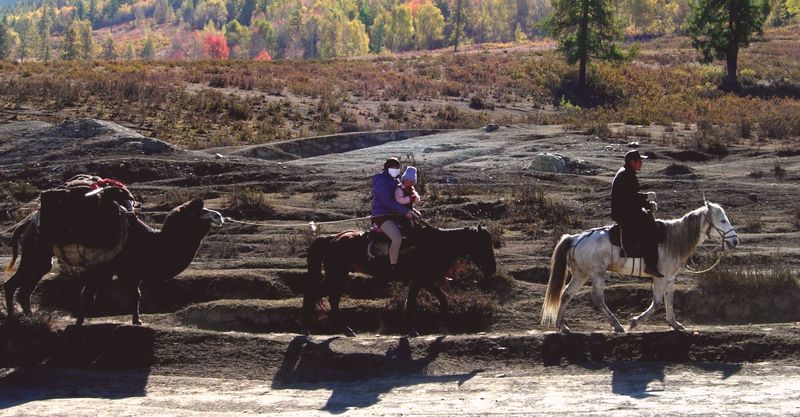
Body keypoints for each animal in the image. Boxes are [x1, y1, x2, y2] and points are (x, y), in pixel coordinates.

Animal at [3, 198, 222, 324]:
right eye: (196, 212)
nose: (219, 216)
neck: (152, 243)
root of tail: (27, 223)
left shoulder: (131, 273)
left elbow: (135, 295)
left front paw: (137, 321)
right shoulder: (104, 268)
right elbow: (88, 293)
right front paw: (79, 322)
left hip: (39, 258)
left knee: (26, 288)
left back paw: (29, 317)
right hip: (36, 252)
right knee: (12, 285)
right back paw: (14, 318)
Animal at [304, 223, 496, 336]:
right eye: (483, 244)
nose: (492, 269)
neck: (435, 243)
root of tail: (331, 238)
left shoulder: (424, 281)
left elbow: (441, 299)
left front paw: (445, 325)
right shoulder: (420, 280)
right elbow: (412, 304)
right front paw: (411, 330)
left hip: (337, 275)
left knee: (329, 298)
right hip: (337, 274)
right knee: (321, 296)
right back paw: (315, 329)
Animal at [540, 200, 740, 334]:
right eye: (722, 220)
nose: (735, 241)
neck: (672, 239)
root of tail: (574, 238)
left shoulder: (670, 278)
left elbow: (669, 300)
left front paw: (675, 324)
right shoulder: (660, 277)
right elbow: (657, 302)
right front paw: (635, 322)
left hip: (581, 274)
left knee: (566, 294)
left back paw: (562, 326)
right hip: (597, 274)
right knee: (598, 298)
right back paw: (617, 325)